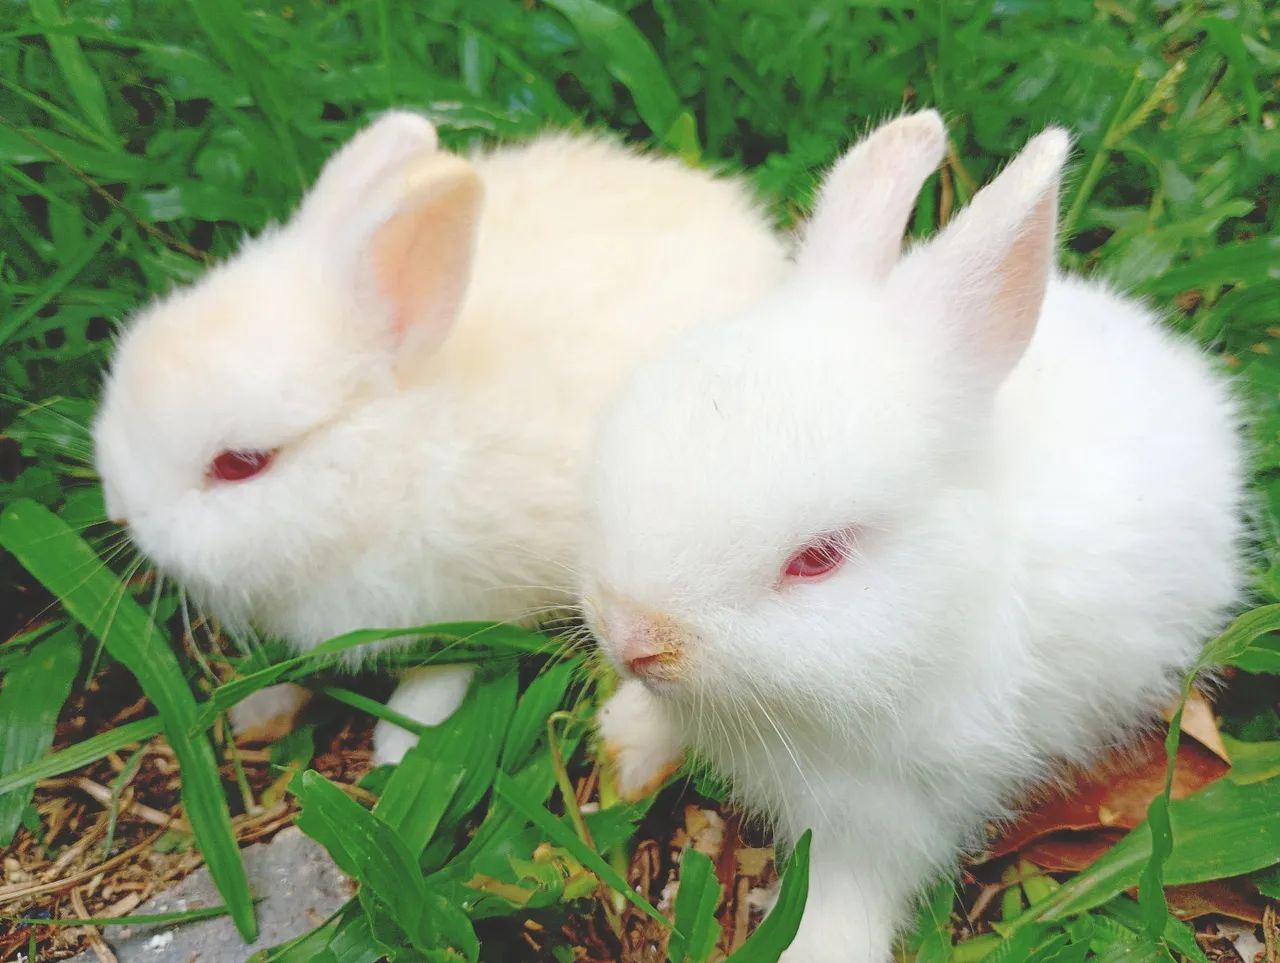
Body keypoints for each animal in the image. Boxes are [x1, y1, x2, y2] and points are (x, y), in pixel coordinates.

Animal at [93, 110, 789, 765]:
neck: (388, 460)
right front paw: (259, 707)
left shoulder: (464, 599)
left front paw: (402, 744)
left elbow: (445, 670)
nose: (123, 514)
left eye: (240, 463)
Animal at [582, 110, 1246, 961]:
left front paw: (818, 950)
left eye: (818, 559)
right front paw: (623, 744)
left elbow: (848, 889)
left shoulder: (891, 811)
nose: (633, 636)